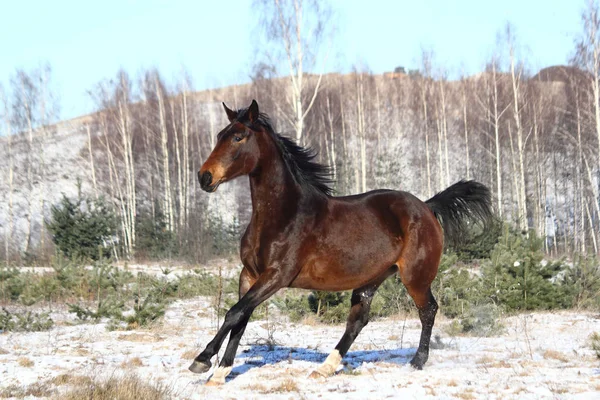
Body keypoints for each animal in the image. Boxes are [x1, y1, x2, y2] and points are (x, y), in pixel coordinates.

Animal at [190, 99, 490, 384]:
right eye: (220, 135)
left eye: (238, 137)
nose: (205, 177)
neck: (285, 214)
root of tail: (427, 207)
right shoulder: (250, 274)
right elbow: (241, 317)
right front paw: (219, 373)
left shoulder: (277, 275)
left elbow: (234, 313)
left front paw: (203, 360)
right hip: (372, 278)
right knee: (358, 321)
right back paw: (324, 369)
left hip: (415, 277)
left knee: (428, 311)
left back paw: (416, 362)